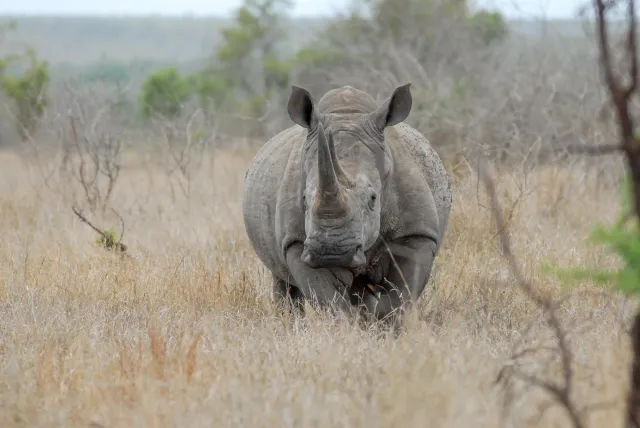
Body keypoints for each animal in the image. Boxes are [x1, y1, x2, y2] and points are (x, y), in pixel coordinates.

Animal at [242, 82, 452, 326]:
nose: (331, 252)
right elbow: (331, 301)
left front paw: (383, 324)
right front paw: (354, 325)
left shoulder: (417, 234)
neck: (347, 114)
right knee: (284, 281)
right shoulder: (296, 242)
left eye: (373, 199)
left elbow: (401, 296)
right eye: (303, 199)